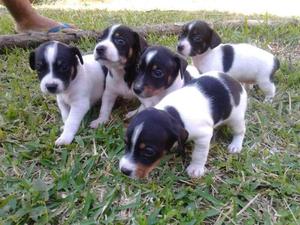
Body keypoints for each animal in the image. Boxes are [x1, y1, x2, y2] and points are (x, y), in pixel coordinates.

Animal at [118, 71, 247, 178]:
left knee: (240, 131)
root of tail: (236, 83)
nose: (124, 171)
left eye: (149, 152)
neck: (172, 112)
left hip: (235, 118)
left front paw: (196, 168)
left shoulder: (203, 136)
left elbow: (199, 154)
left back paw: (235, 145)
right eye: (125, 142)